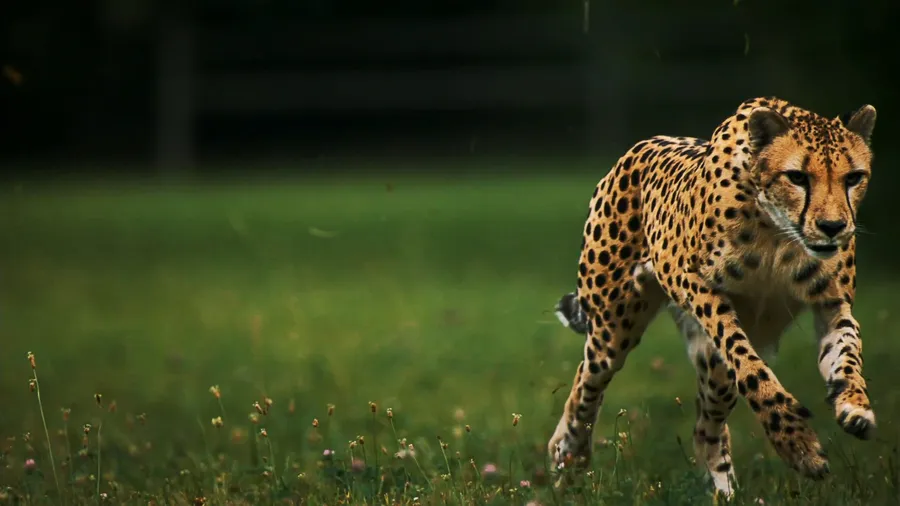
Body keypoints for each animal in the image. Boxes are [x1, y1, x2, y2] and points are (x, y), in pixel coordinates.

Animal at [549, 96, 878, 497]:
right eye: (797, 177)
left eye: (853, 177)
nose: (833, 227)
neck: (779, 232)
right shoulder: (695, 284)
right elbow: (750, 367)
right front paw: (798, 444)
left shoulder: (832, 304)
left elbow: (847, 355)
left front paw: (853, 405)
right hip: (612, 328)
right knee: (586, 385)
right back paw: (568, 456)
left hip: (713, 371)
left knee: (705, 428)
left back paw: (726, 493)